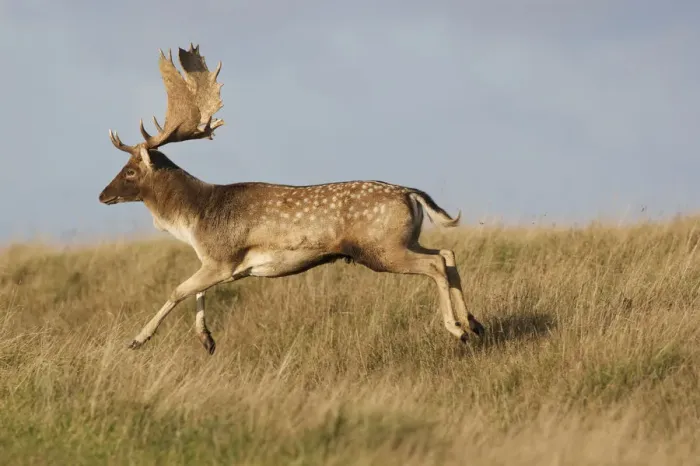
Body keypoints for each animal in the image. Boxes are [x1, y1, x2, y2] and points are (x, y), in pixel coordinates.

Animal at [99, 44, 485, 355]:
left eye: (130, 170)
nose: (103, 195)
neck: (195, 218)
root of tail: (410, 193)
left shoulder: (222, 258)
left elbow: (177, 291)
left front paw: (137, 340)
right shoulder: (226, 267)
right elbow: (195, 291)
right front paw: (207, 340)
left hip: (381, 248)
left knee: (435, 264)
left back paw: (457, 329)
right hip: (404, 240)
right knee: (446, 253)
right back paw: (474, 322)